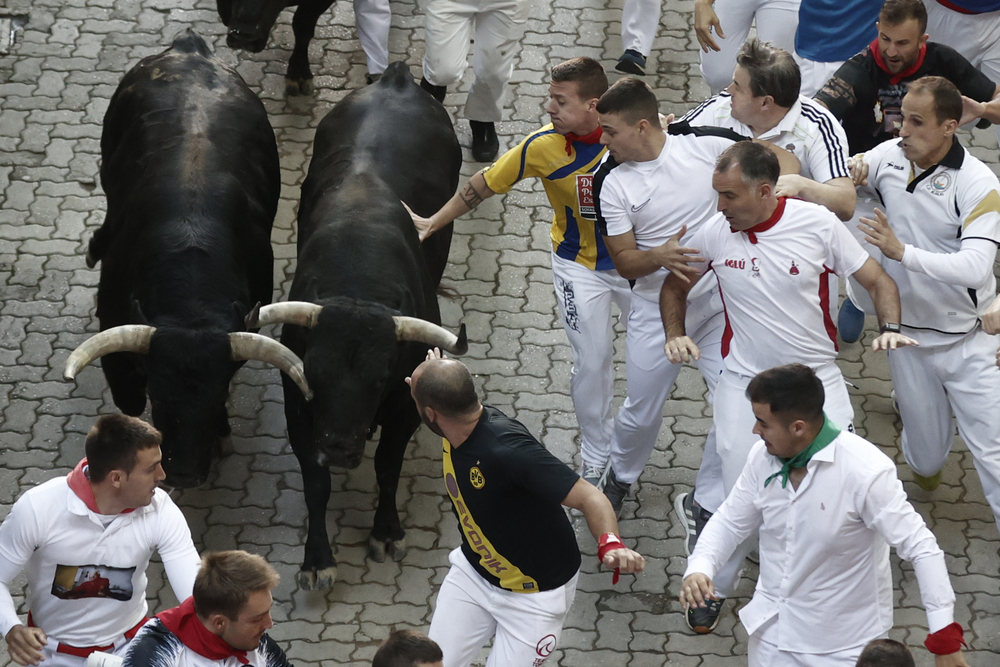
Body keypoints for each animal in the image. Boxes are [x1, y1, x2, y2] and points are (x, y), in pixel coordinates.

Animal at [248, 60, 470, 588]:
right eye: (316, 371)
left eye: (379, 377)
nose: (340, 449)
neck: (358, 276)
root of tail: (396, 77)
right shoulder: (299, 409)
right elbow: (315, 483)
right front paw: (317, 559)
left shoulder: (404, 407)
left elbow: (388, 466)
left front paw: (386, 532)